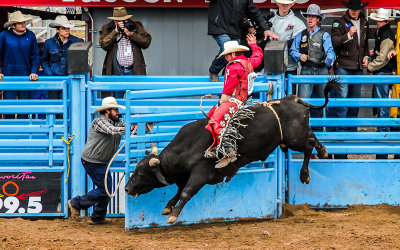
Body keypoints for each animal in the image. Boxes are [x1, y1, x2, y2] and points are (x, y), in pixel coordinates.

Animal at [124, 79, 338, 224]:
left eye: (141, 172)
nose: (126, 188)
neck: (185, 149)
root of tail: (291, 98)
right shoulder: (184, 176)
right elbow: (177, 193)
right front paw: (168, 207)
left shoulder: (200, 174)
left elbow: (185, 193)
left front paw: (174, 215)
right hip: (293, 136)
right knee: (312, 137)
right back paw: (324, 151)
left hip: (294, 139)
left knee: (308, 147)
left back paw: (305, 174)